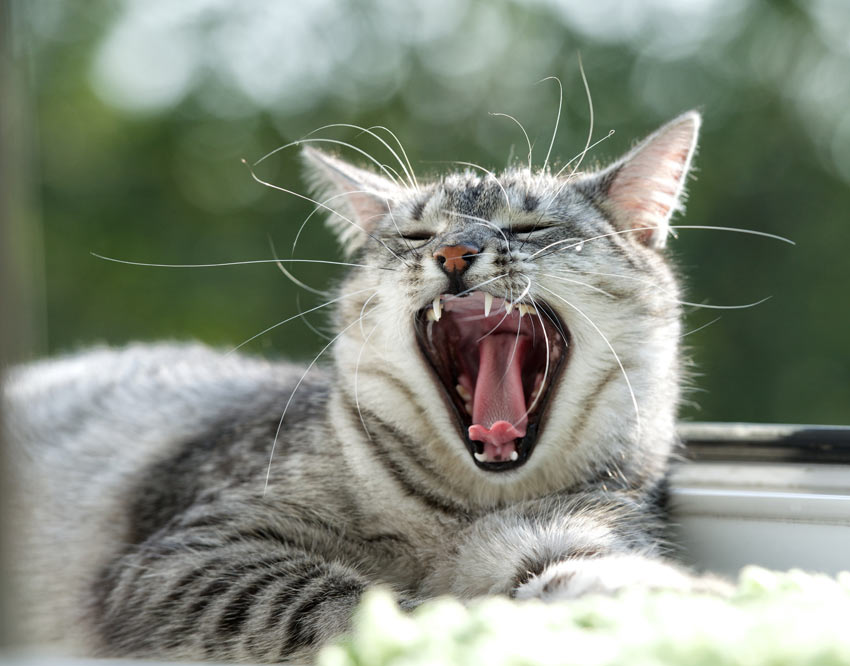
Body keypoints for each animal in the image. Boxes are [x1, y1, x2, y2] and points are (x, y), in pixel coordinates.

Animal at [6, 109, 724, 660]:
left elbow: (600, 574)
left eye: (530, 227)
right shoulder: (190, 553)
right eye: (417, 234)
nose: (454, 253)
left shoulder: (577, 529)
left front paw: (689, 606)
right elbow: (342, 602)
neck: (464, 511)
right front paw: (452, 628)